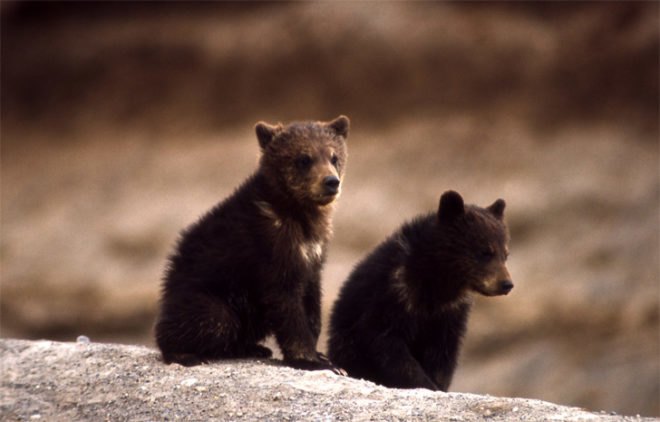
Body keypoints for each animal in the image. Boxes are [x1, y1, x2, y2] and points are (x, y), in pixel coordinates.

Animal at [155, 116, 349, 372]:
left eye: (334, 156)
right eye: (304, 158)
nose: (331, 182)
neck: (299, 214)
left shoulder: (313, 253)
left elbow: (311, 299)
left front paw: (323, 356)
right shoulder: (270, 249)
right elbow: (286, 303)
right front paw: (311, 360)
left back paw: (253, 347)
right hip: (206, 293)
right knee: (214, 317)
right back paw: (185, 353)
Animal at [327, 190, 512, 390]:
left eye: (505, 254)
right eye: (485, 252)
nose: (506, 284)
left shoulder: (449, 315)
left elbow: (442, 356)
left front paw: (437, 383)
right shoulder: (390, 298)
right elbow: (386, 345)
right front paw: (424, 382)